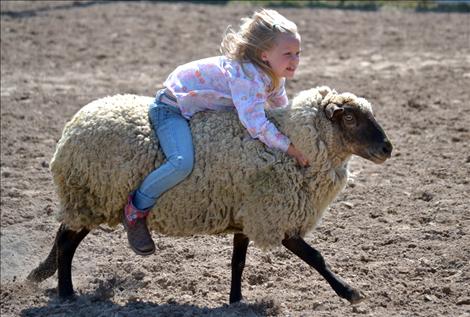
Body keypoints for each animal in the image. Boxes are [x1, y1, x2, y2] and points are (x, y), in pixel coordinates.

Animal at [26, 85, 392, 304]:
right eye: (349, 117)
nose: (388, 148)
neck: (296, 145)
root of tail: (74, 124)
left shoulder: (247, 215)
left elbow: (238, 262)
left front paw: (236, 301)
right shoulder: (275, 216)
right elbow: (316, 257)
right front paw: (349, 291)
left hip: (90, 199)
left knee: (63, 235)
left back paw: (47, 278)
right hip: (91, 195)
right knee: (65, 241)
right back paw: (66, 293)